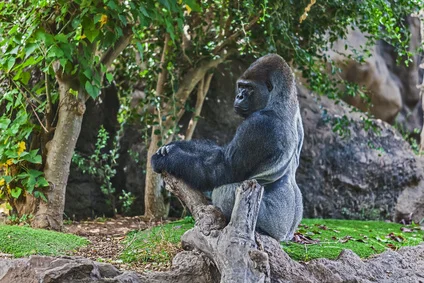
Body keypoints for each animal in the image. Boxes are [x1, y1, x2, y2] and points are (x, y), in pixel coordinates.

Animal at [152, 53, 304, 242]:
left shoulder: (259, 124)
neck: (281, 99)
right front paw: (175, 146)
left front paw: (169, 158)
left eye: (248, 88)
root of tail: (287, 234)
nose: (239, 96)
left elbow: (224, 168)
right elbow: (217, 154)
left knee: (224, 189)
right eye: (240, 86)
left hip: (275, 226)